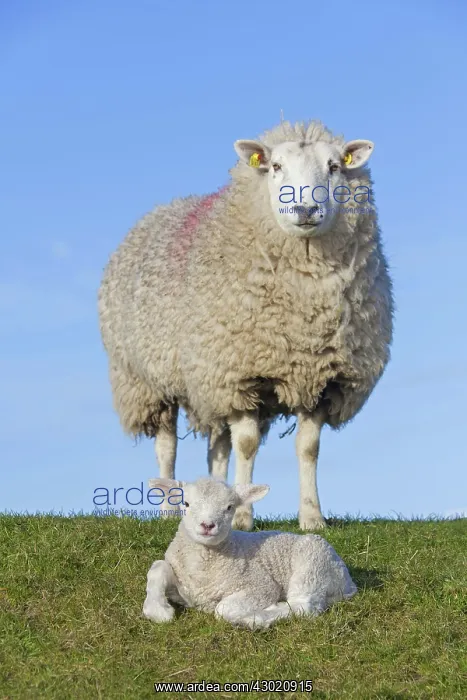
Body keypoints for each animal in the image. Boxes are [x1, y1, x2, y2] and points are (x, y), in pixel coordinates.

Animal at [98, 119, 393, 532]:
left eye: (334, 166)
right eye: (275, 167)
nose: (305, 208)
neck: (305, 308)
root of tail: (162, 208)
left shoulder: (320, 378)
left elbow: (308, 448)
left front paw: (312, 517)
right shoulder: (238, 375)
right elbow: (248, 445)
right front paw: (241, 518)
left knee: (217, 450)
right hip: (149, 381)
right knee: (167, 445)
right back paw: (169, 511)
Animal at [142, 477, 357, 629]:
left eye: (229, 507)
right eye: (186, 504)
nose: (208, 525)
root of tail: (348, 583)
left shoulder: (261, 586)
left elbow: (222, 609)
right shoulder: (182, 586)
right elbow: (158, 568)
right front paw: (158, 610)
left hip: (312, 566)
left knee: (304, 606)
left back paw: (256, 618)